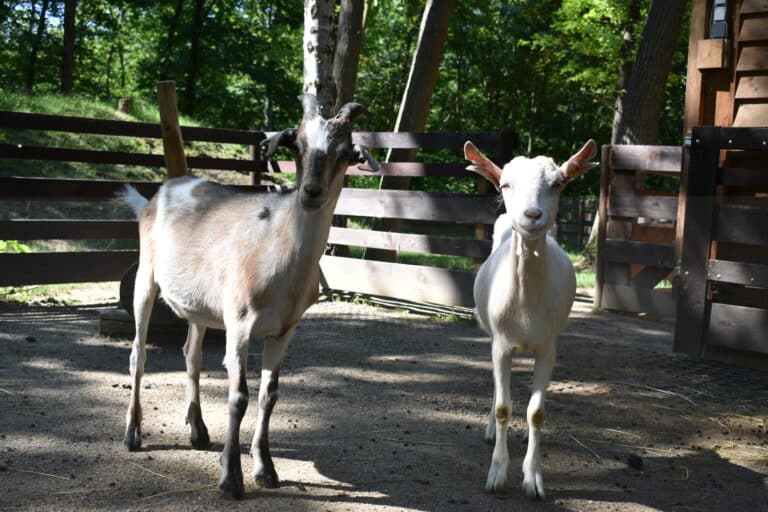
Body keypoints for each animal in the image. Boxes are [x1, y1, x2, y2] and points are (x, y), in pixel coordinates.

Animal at [119, 95, 378, 500]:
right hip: (146, 279)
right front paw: (231, 477)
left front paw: (266, 468)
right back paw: (132, 434)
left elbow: (269, 395)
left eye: (345, 152)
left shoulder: (285, 330)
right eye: (298, 146)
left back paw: (198, 431)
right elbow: (238, 396)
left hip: (202, 309)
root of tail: (162, 191)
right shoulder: (239, 323)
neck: (279, 250)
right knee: (138, 355)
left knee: (191, 355)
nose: (311, 191)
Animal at [464, 140, 596, 500]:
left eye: (558, 182)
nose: (532, 215)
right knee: (496, 390)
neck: (525, 308)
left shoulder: (548, 347)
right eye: (505, 184)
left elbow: (536, 413)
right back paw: (489, 430)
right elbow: (503, 407)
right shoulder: (500, 344)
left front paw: (533, 478)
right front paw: (496, 474)